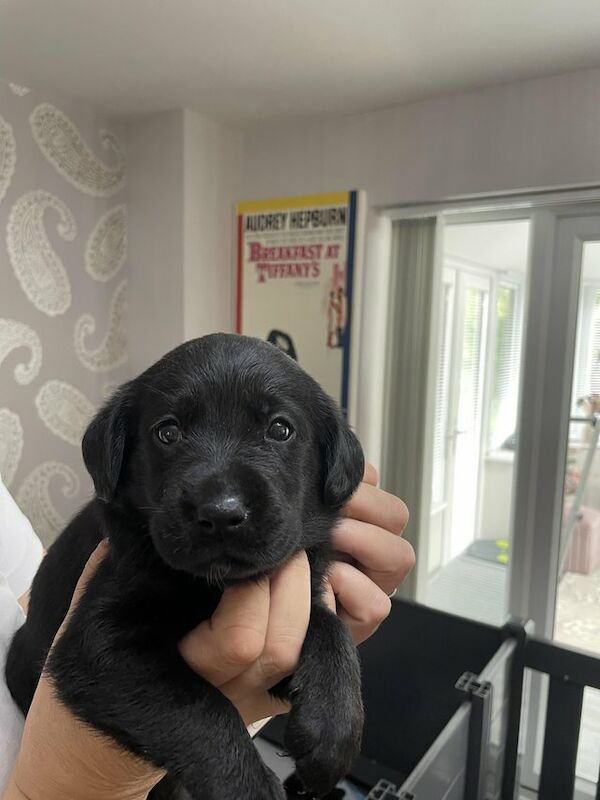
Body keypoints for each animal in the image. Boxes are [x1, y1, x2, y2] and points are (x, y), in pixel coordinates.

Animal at [5, 332, 366, 800]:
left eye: (280, 429)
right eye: (168, 432)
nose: (221, 513)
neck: (214, 586)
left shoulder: (298, 595)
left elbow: (329, 627)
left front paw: (332, 728)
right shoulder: (96, 648)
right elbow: (199, 707)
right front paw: (246, 785)